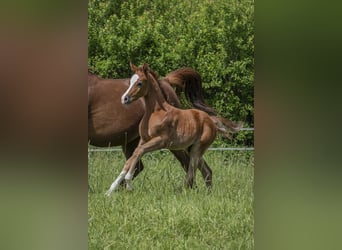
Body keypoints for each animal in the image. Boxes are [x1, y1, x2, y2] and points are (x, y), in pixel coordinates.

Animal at [105, 63, 242, 195]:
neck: (155, 112)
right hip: (191, 147)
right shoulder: (143, 140)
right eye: (130, 82)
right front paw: (110, 190)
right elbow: (132, 157)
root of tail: (211, 121)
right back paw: (208, 194)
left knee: (191, 173)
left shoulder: (161, 141)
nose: (124, 99)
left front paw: (128, 183)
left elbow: (139, 152)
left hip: (197, 149)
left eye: (139, 83)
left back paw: (181, 193)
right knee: (206, 171)